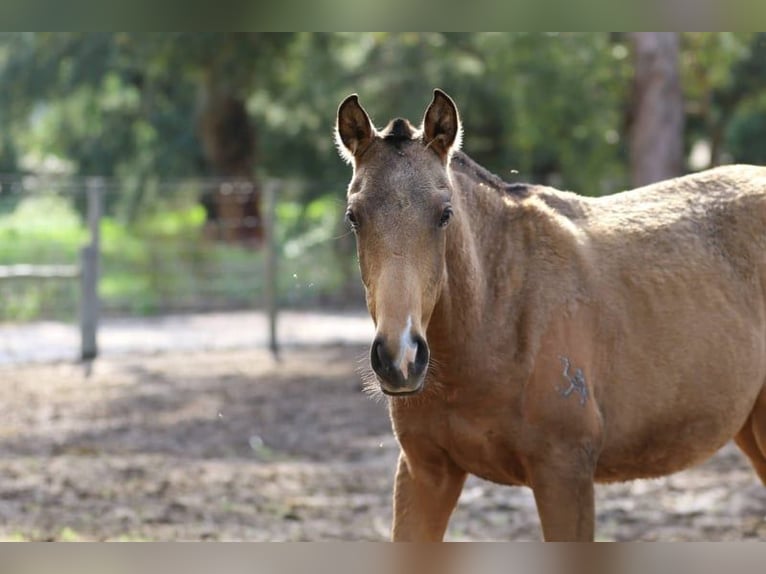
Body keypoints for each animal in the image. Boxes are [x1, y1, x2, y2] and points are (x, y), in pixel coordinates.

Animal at [336, 88, 766, 544]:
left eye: (444, 213)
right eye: (354, 216)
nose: (399, 359)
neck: (497, 315)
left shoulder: (564, 473)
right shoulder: (425, 471)